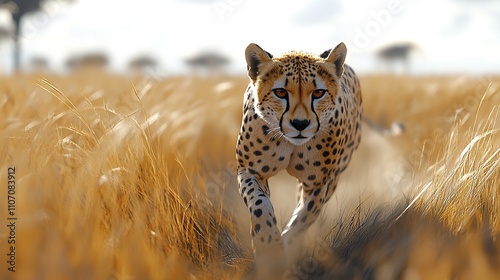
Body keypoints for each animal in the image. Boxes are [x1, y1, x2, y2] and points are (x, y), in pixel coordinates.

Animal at [236, 41, 362, 258]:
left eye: (318, 93)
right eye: (280, 92)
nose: (300, 124)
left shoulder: (318, 184)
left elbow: (303, 218)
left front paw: (285, 249)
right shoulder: (250, 171)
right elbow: (259, 204)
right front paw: (267, 243)